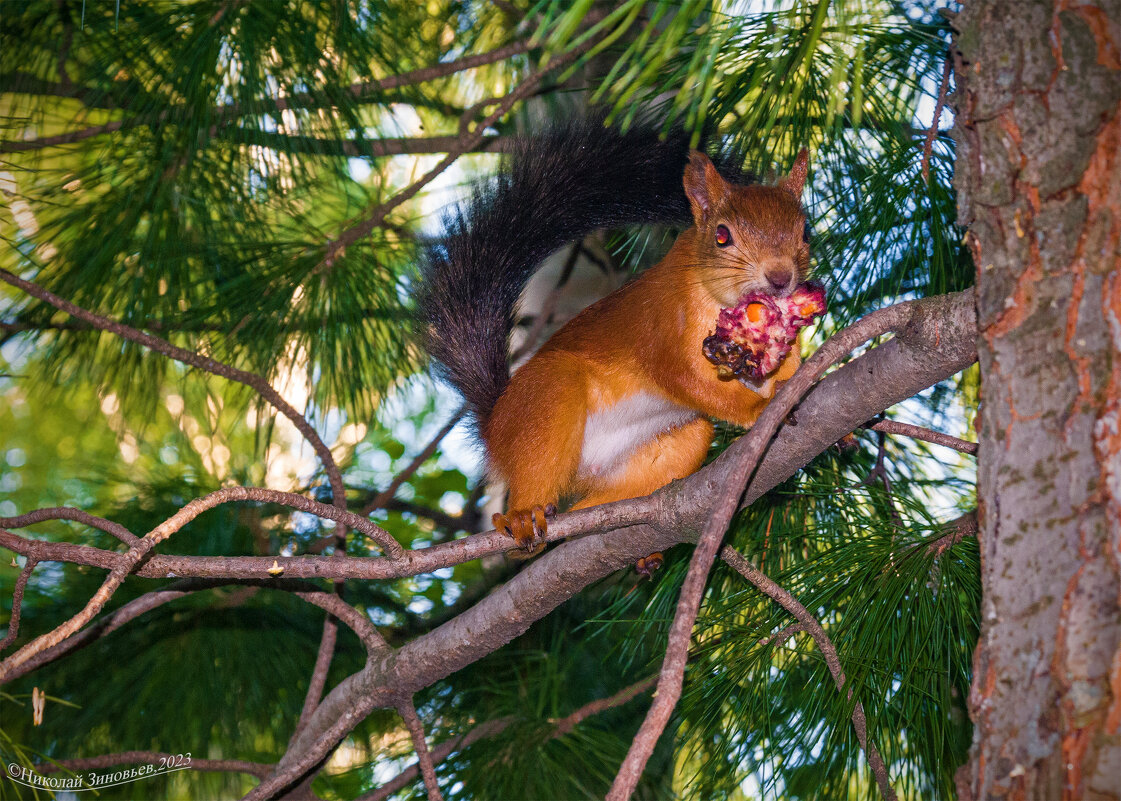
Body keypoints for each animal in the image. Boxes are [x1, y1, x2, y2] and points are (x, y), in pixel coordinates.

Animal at [417, 117, 811, 557]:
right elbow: (682, 377)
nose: (780, 278)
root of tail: (495, 421)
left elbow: (779, 370)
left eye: (805, 232)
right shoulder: (660, 328)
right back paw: (521, 516)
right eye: (722, 236)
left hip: (673, 445)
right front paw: (761, 409)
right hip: (545, 396)